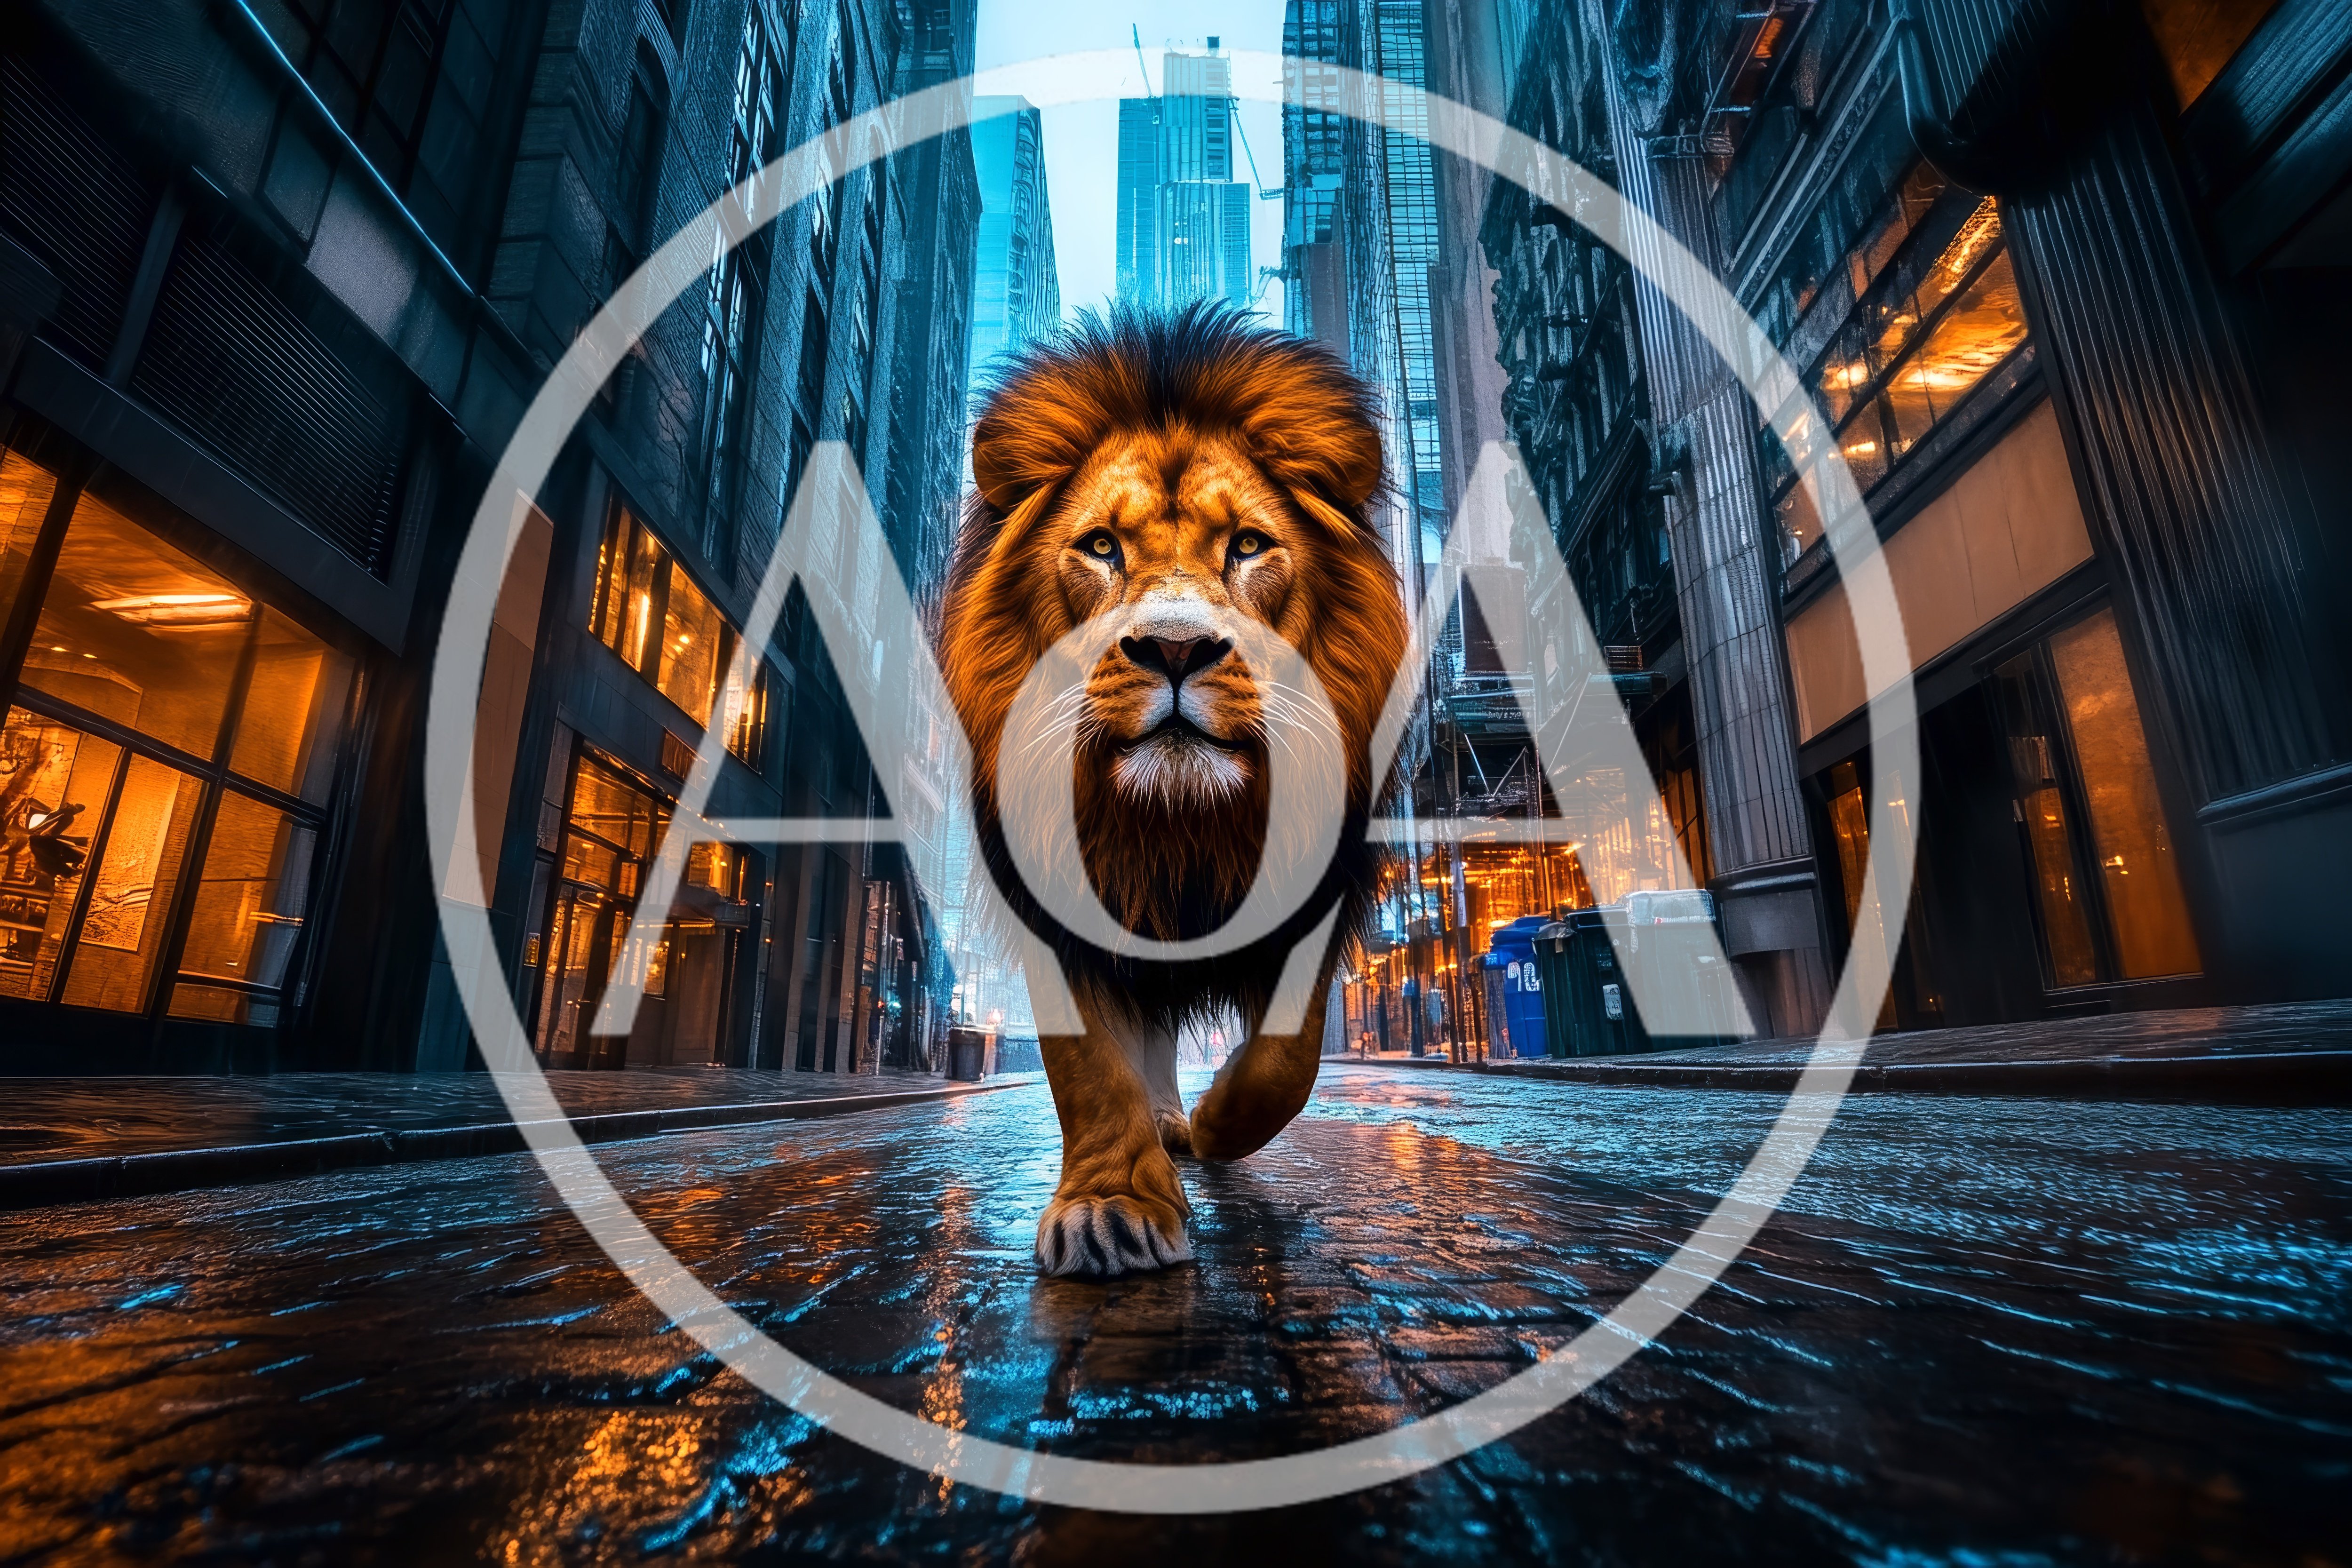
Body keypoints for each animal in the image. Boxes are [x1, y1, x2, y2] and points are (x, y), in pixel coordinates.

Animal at [939, 302, 1409, 1278]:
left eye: (1248, 546)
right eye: (1102, 547)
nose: (1176, 647)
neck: (1177, 820)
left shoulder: (1317, 889)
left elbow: (1285, 1061)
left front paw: (1218, 1118)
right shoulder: (1060, 898)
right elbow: (1091, 1068)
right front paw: (1112, 1205)